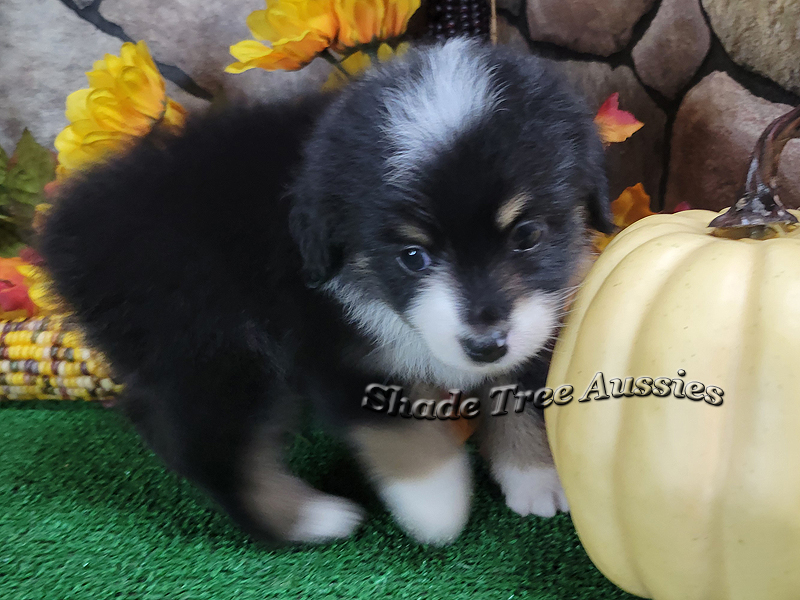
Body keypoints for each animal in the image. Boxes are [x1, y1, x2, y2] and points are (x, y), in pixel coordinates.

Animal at [39, 37, 612, 544]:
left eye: (528, 235)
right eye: (412, 256)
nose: (485, 345)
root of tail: (66, 231)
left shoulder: (533, 322)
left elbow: (515, 388)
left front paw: (533, 477)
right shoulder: (326, 343)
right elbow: (398, 430)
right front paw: (436, 506)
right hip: (215, 347)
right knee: (215, 449)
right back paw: (314, 519)